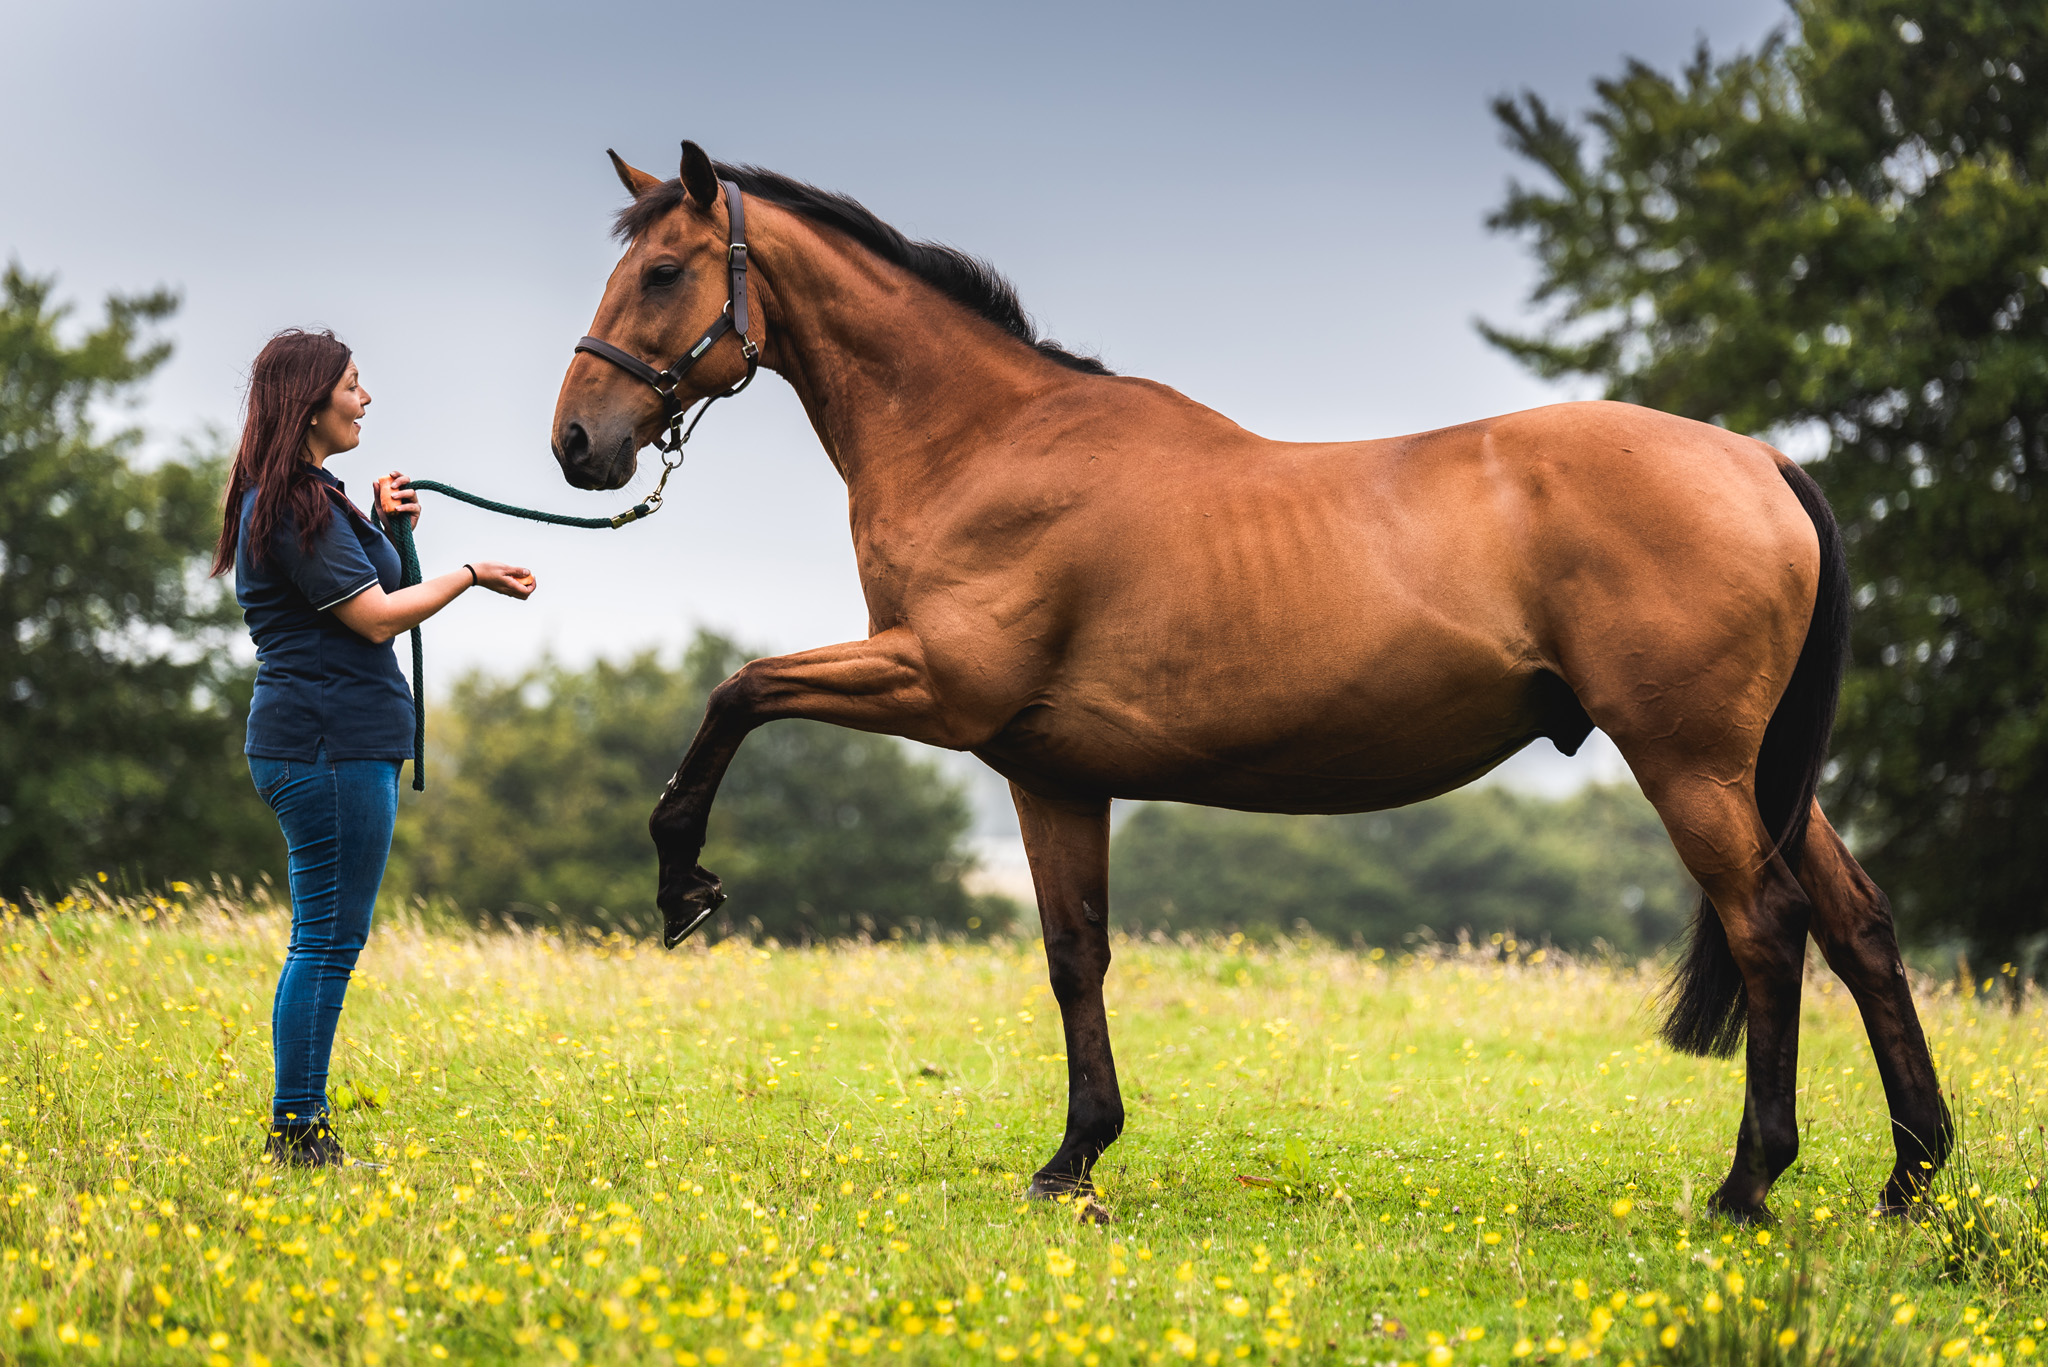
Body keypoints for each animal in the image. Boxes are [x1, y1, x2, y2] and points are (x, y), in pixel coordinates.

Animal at [548, 144, 1949, 1221]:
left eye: (663, 271)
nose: (576, 443)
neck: (991, 444)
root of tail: (1759, 460)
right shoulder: (1047, 772)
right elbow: (1073, 954)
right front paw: (1073, 1157)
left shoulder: (935, 687)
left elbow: (737, 690)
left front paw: (682, 880)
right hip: (1757, 773)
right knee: (1860, 923)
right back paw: (1909, 1176)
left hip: (1688, 764)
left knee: (1769, 926)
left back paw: (1746, 1186)